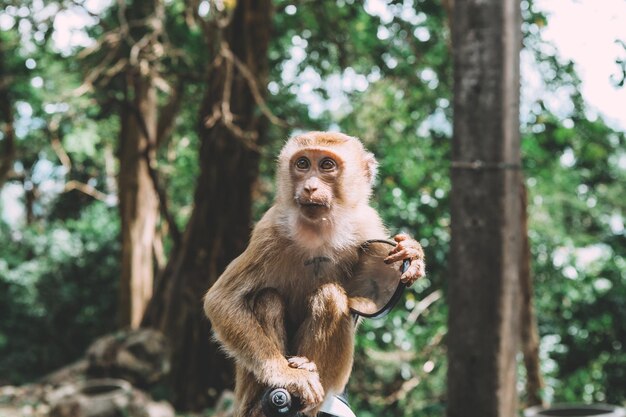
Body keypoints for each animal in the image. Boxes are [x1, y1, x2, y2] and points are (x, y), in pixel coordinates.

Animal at [205, 132, 424, 414]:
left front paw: (413, 253)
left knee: (330, 296)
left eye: (327, 165)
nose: (309, 187)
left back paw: (308, 374)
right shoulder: (268, 230)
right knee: (268, 299)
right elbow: (222, 300)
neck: (317, 231)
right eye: (302, 164)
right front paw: (287, 376)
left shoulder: (367, 225)